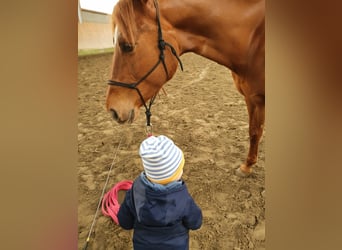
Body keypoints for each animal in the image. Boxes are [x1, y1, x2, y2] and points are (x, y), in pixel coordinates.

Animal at [106, 0, 264, 177]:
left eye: (126, 46)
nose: (112, 110)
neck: (252, 40)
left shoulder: (258, 99)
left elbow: (256, 132)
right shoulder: (251, 98)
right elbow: (253, 131)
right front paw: (247, 166)